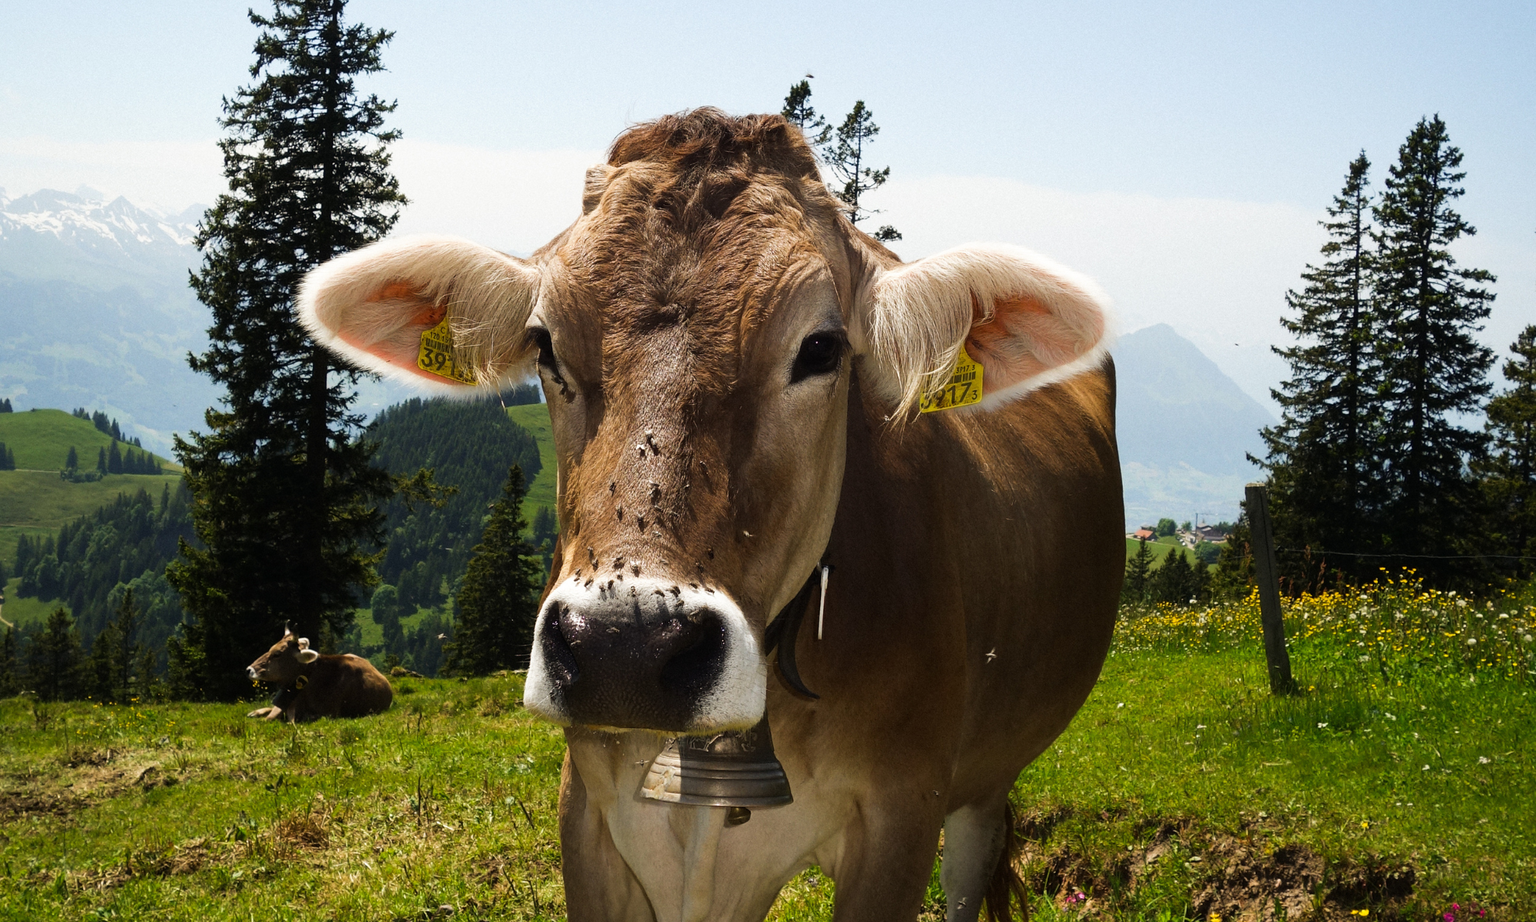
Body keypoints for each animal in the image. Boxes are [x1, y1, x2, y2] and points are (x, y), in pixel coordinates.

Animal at [297, 109, 1121, 922]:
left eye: (821, 349)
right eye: (544, 345)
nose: (623, 649)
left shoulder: (902, 813)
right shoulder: (589, 807)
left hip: (986, 780)